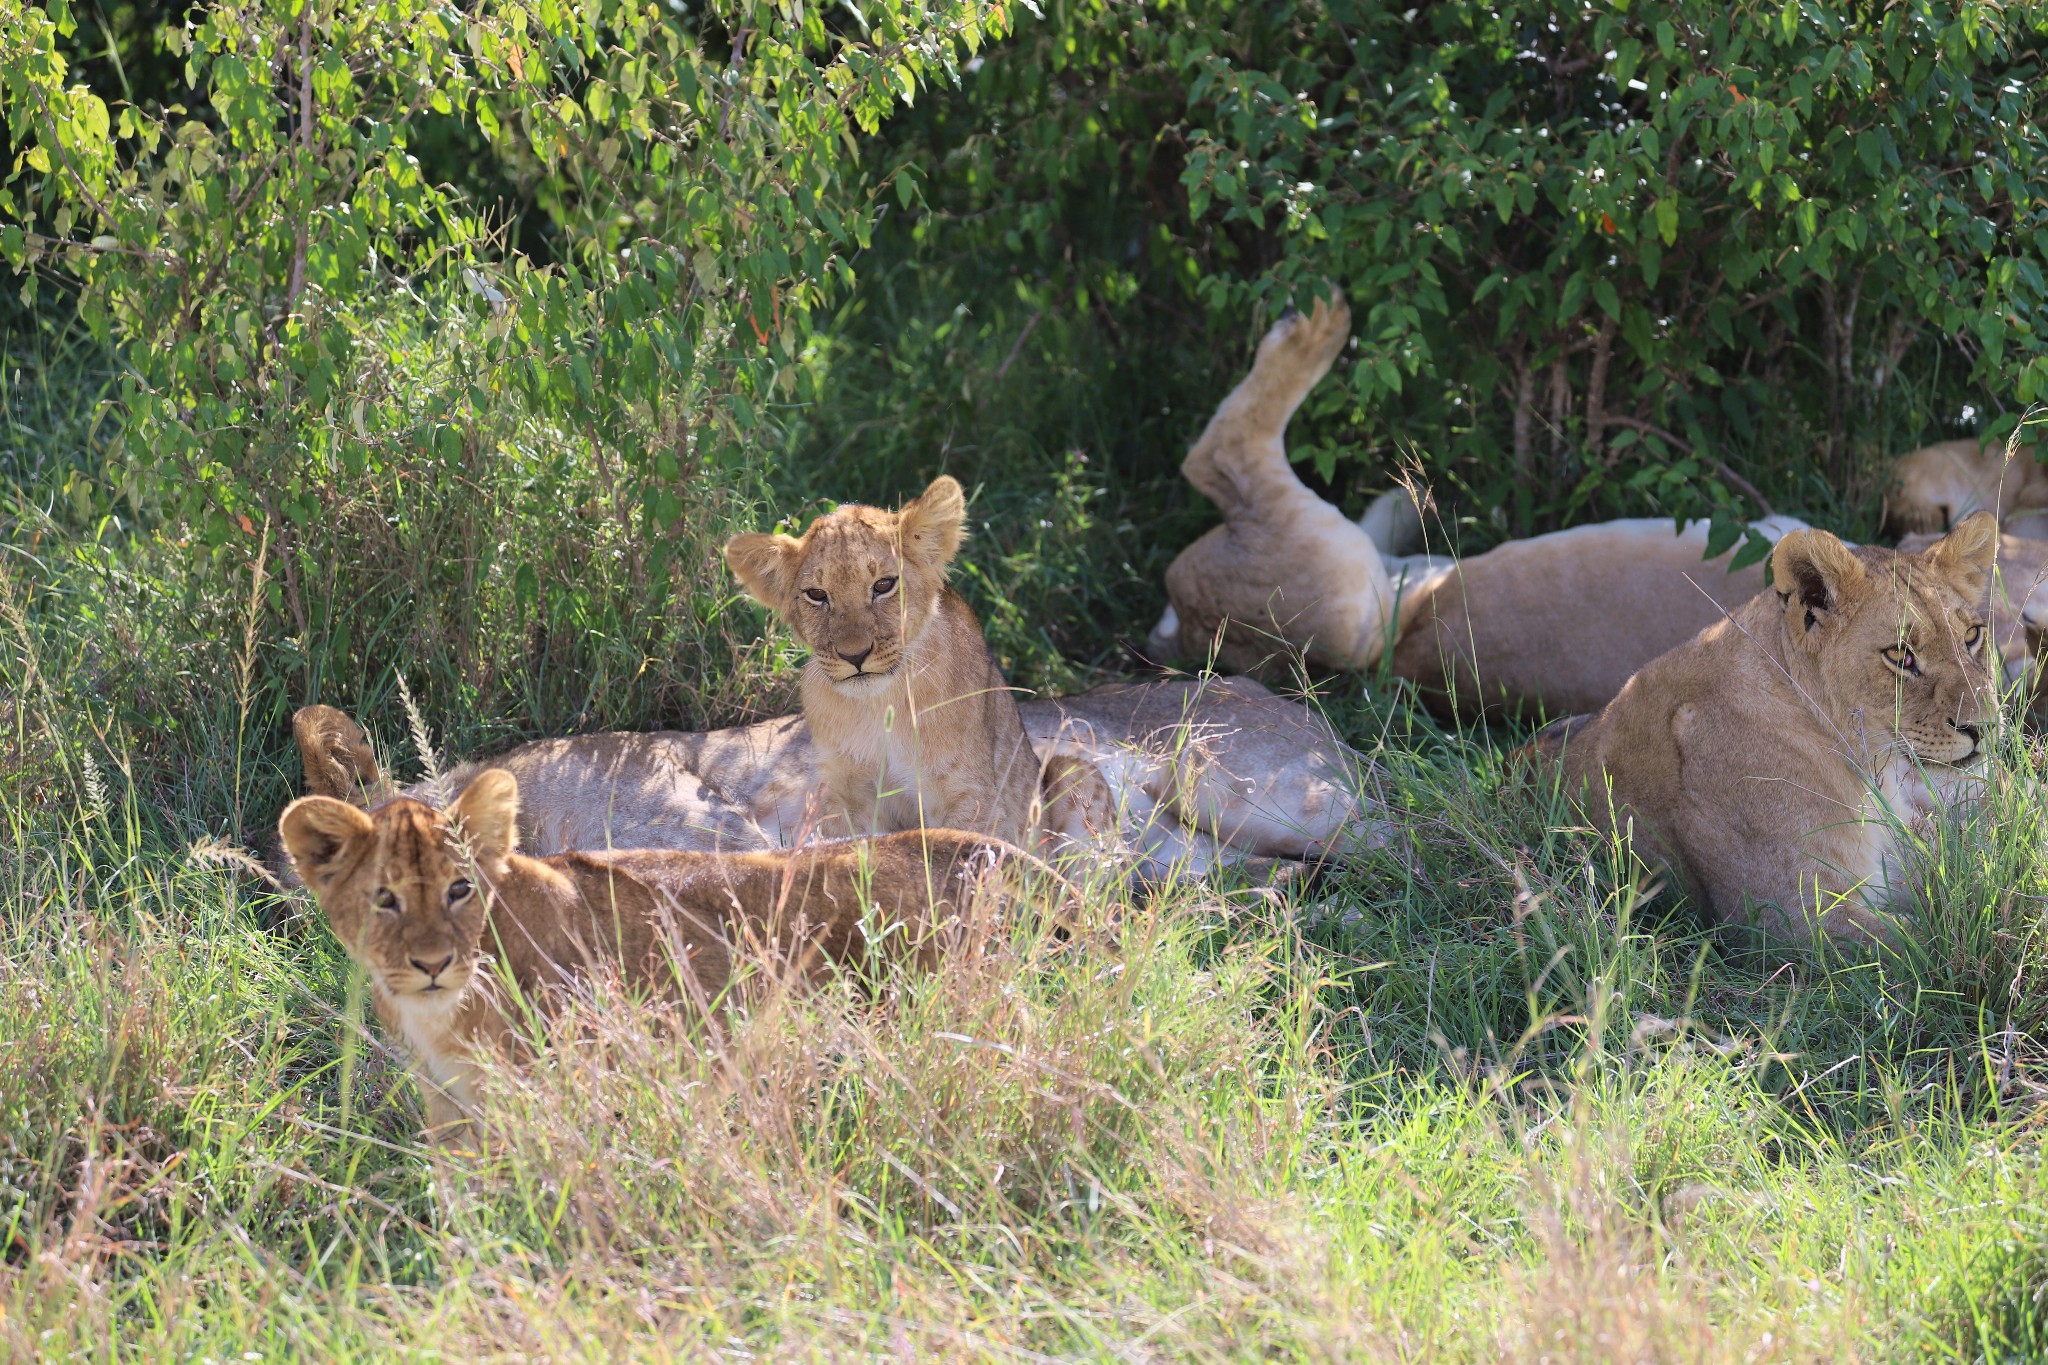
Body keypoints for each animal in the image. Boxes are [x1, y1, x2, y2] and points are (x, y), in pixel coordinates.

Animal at [282, 769, 1048, 1146]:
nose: (433, 963)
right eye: (383, 900)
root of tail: (948, 842)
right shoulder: (447, 1098)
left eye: (459, 889)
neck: (440, 1011)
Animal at [1540, 511, 1990, 949]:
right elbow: (1923, 945)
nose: (1983, 727)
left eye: (1972, 635)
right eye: (1899, 655)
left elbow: (1973, 882)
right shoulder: (1786, 918)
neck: (1868, 767)